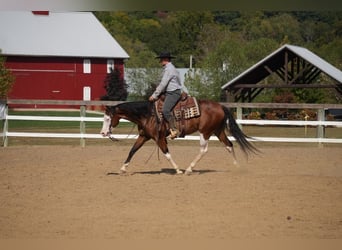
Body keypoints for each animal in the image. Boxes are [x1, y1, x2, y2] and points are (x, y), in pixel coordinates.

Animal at [100, 98, 258, 175]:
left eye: (107, 119)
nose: (103, 133)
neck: (147, 114)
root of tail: (221, 106)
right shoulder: (144, 136)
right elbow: (132, 151)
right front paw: (122, 169)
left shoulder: (159, 138)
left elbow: (167, 154)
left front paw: (178, 170)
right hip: (218, 131)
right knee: (229, 145)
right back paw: (238, 167)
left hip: (205, 132)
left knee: (204, 150)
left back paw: (188, 169)